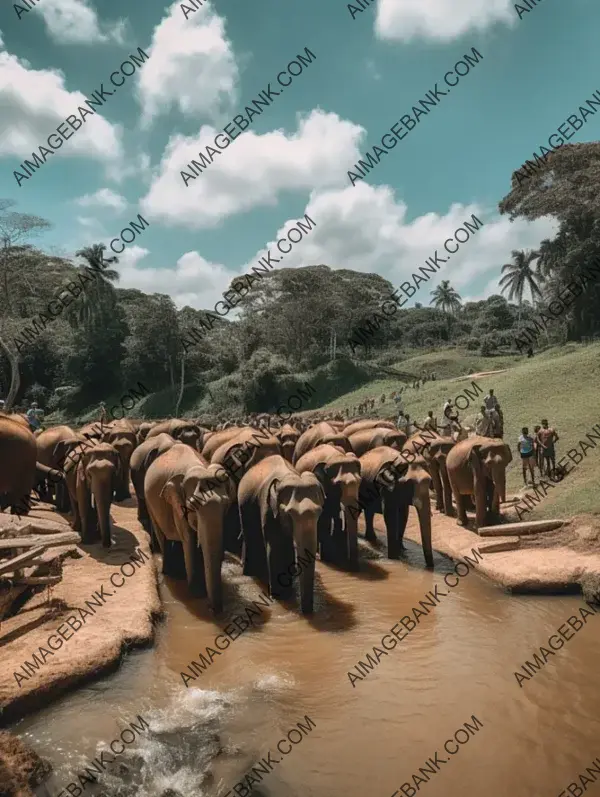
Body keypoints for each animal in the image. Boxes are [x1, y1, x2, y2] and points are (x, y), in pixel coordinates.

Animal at [144, 442, 236, 608]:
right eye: (193, 506)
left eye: (226, 504)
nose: (215, 609)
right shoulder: (177, 505)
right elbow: (189, 540)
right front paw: (196, 594)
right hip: (149, 503)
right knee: (161, 535)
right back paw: (168, 571)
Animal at [237, 450, 326, 612]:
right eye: (290, 514)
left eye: (319, 512)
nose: (308, 612)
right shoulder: (268, 509)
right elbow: (276, 548)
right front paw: (280, 597)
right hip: (243, 503)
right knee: (251, 537)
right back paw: (250, 573)